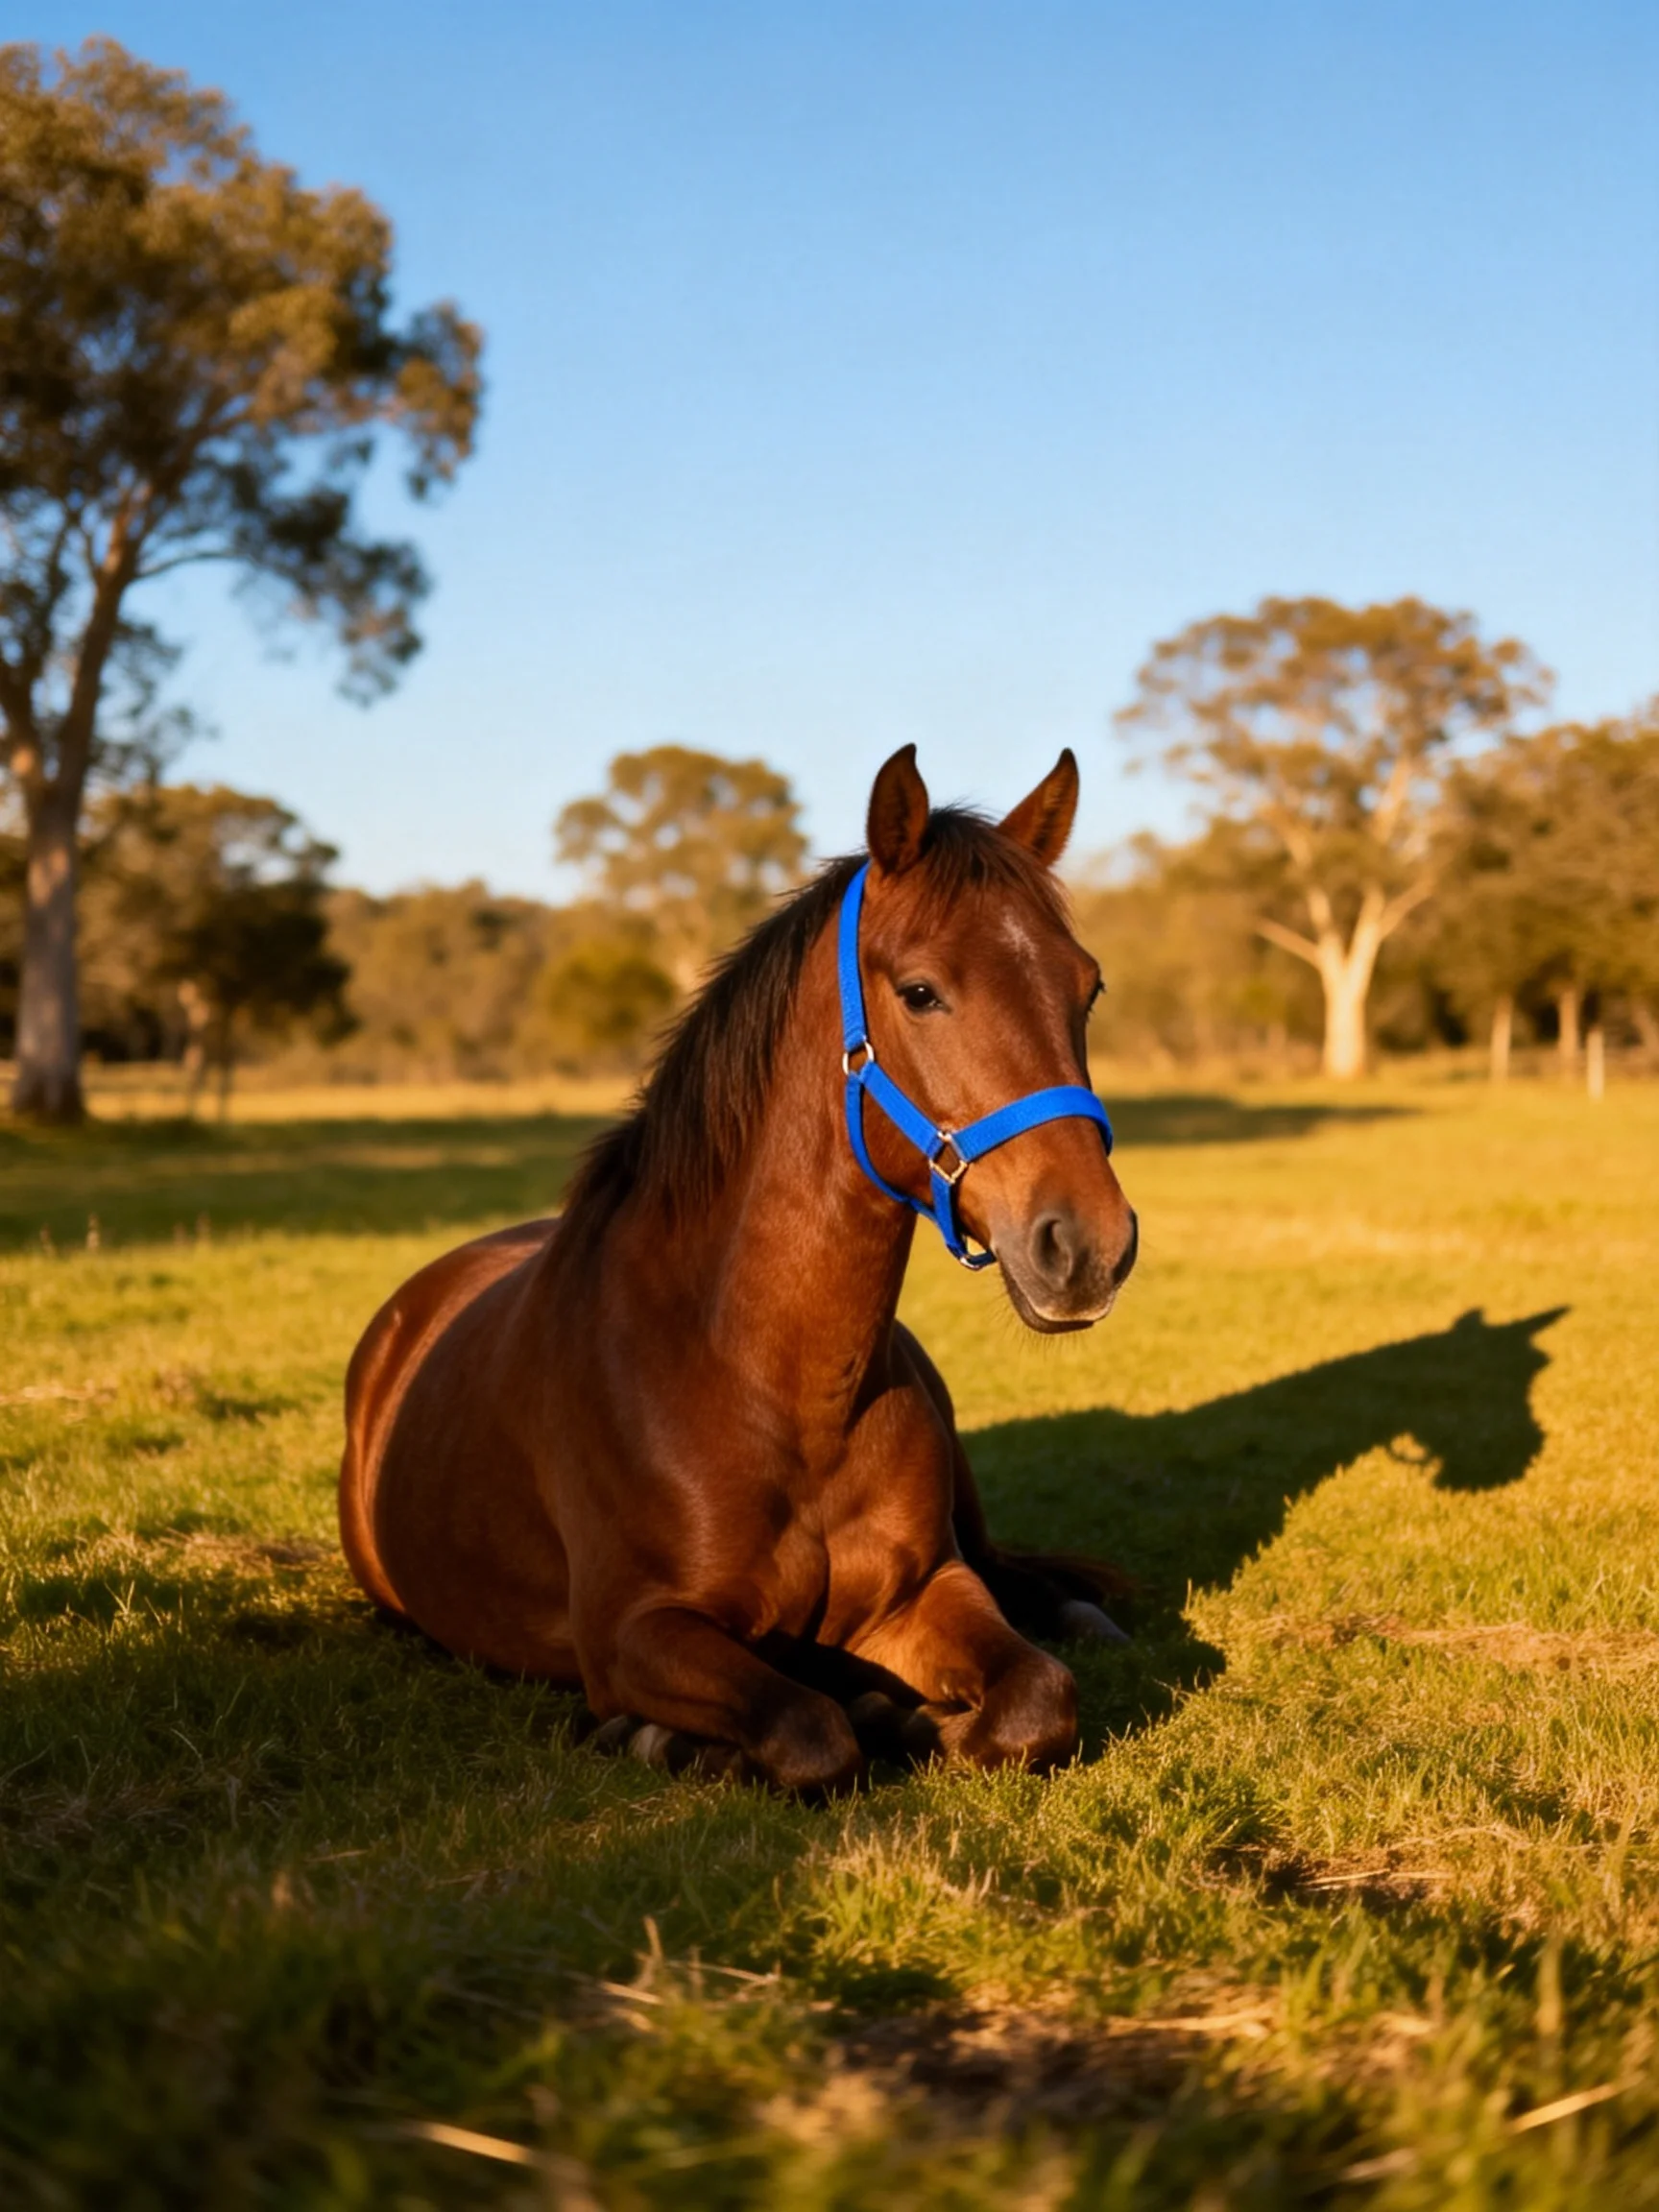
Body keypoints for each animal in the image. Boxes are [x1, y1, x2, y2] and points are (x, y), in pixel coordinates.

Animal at [339, 745, 1139, 1792]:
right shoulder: (635, 1633)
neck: (753, 1376)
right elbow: (808, 1730)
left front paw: (911, 1712)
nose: (1089, 1247)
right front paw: (688, 1735)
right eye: (921, 991)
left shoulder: (926, 1588)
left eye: (1088, 988)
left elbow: (1036, 1702)